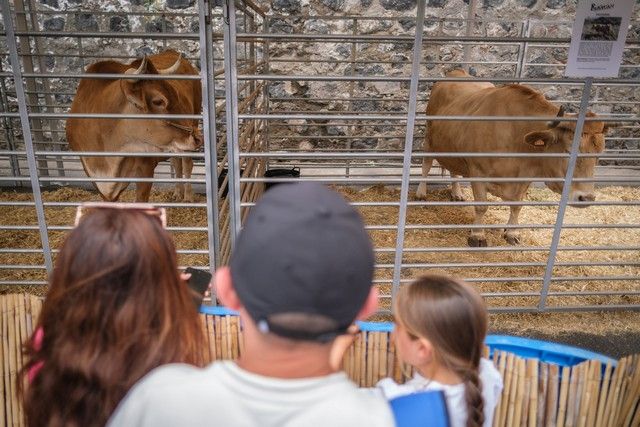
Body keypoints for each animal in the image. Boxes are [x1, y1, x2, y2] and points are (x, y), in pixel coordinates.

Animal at [66, 49, 201, 203]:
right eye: (158, 101)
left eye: (176, 94)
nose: (197, 137)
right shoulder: (95, 177)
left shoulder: (145, 169)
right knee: (176, 162)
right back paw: (178, 193)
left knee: (187, 164)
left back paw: (188, 197)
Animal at [416, 69, 608, 247]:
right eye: (568, 151)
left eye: (598, 155)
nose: (587, 198)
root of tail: (457, 71)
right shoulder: (478, 171)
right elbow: (481, 206)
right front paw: (477, 235)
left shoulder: (525, 178)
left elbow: (517, 206)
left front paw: (512, 232)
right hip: (429, 139)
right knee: (426, 166)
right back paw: (421, 193)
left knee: (453, 169)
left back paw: (456, 192)